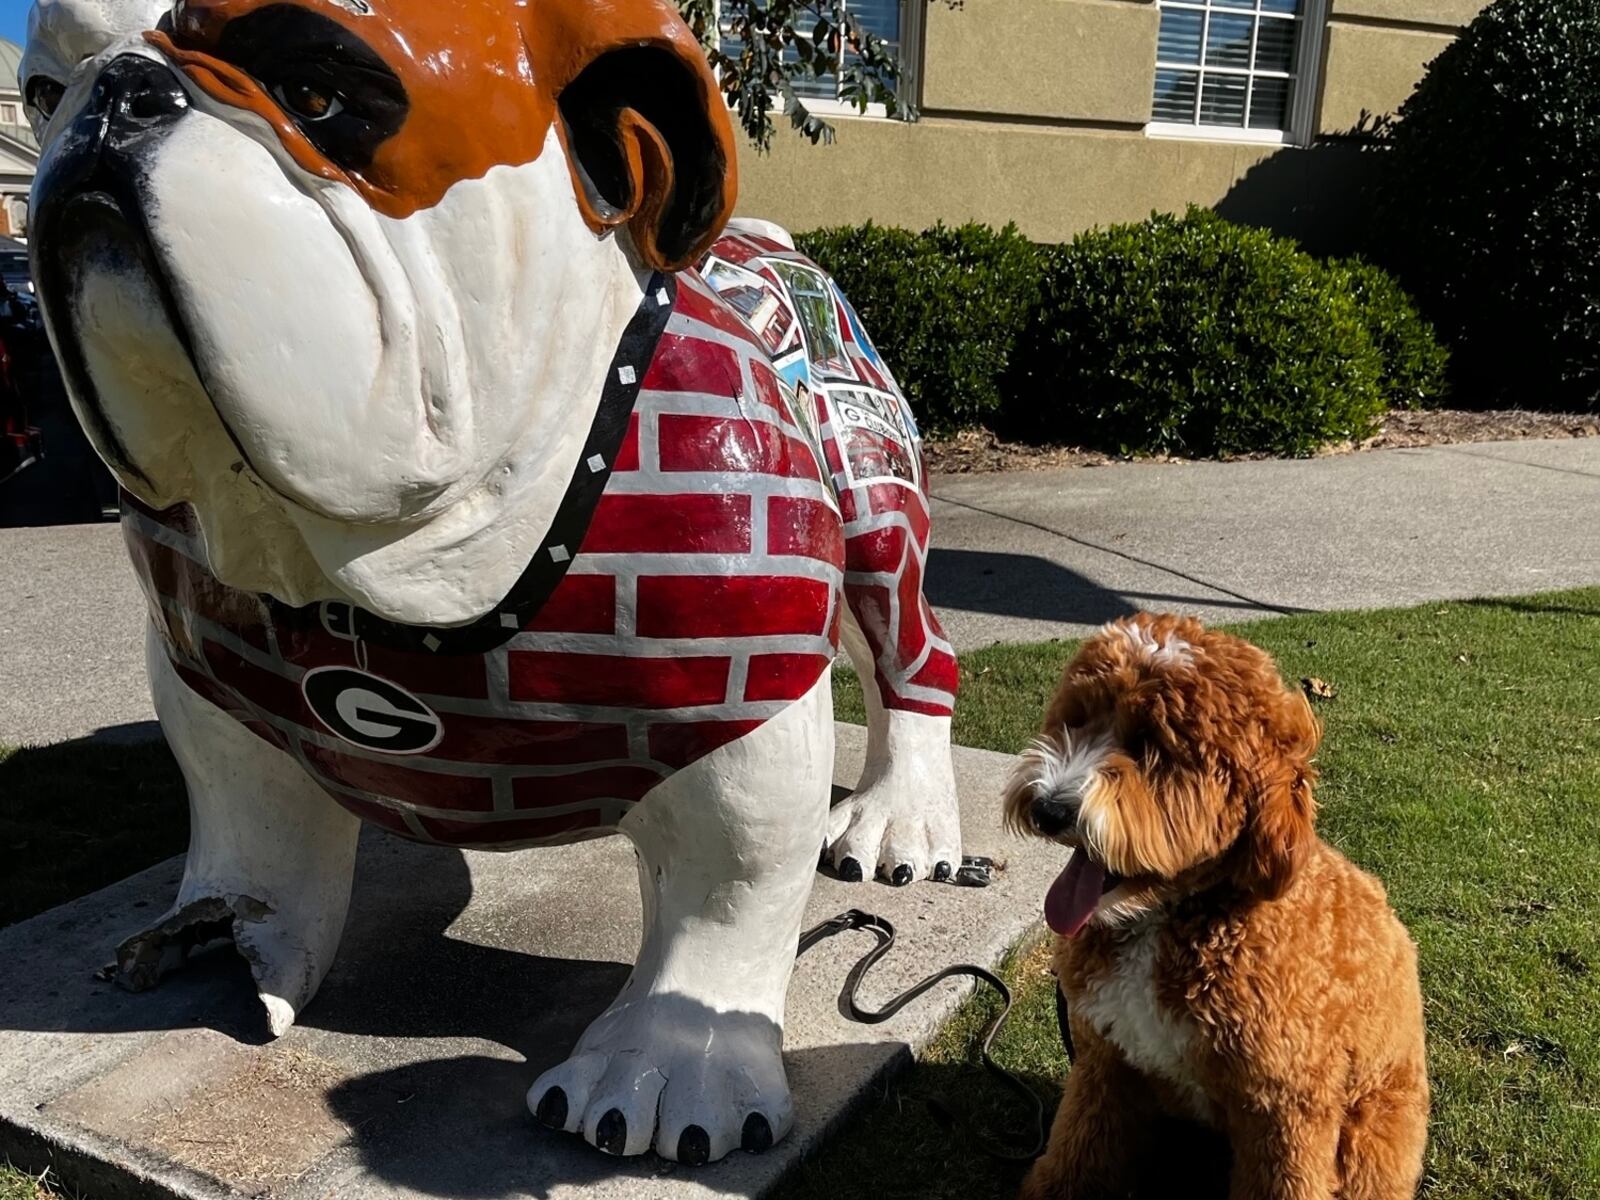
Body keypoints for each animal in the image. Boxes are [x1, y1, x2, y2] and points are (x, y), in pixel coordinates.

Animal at [1004, 614, 1433, 1196]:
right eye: (1077, 719)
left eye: (1151, 746)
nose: (1049, 808)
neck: (1173, 916)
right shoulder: (1105, 1063)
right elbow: (1079, 1148)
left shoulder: (1285, 1109)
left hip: (1374, 1127)